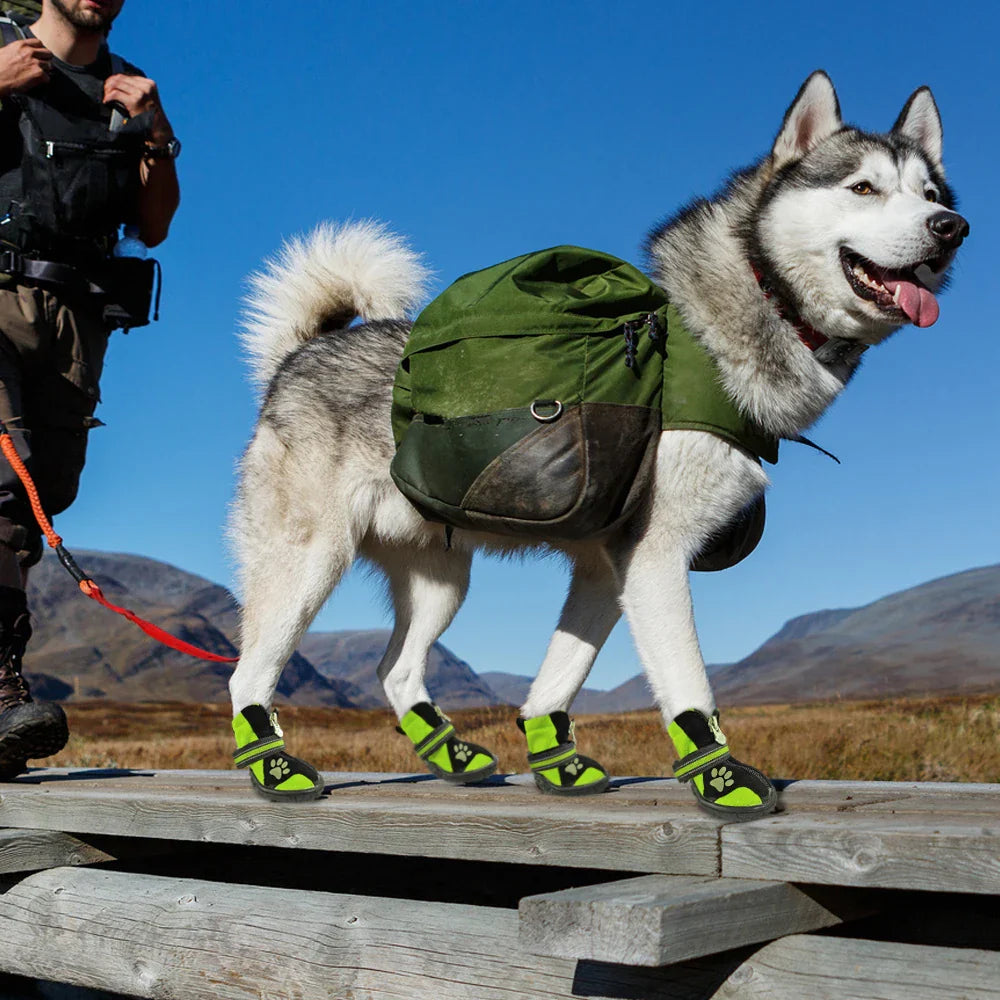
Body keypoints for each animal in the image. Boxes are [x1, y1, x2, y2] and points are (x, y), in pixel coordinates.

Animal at [229, 72, 968, 820]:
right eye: (863, 188)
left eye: (932, 195)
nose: (952, 229)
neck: (747, 313)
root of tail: (299, 355)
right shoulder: (654, 553)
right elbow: (688, 678)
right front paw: (719, 775)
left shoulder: (606, 564)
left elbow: (563, 670)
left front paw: (553, 758)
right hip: (308, 562)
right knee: (247, 673)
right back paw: (274, 766)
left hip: (441, 579)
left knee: (394, 668)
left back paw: (450, 754)